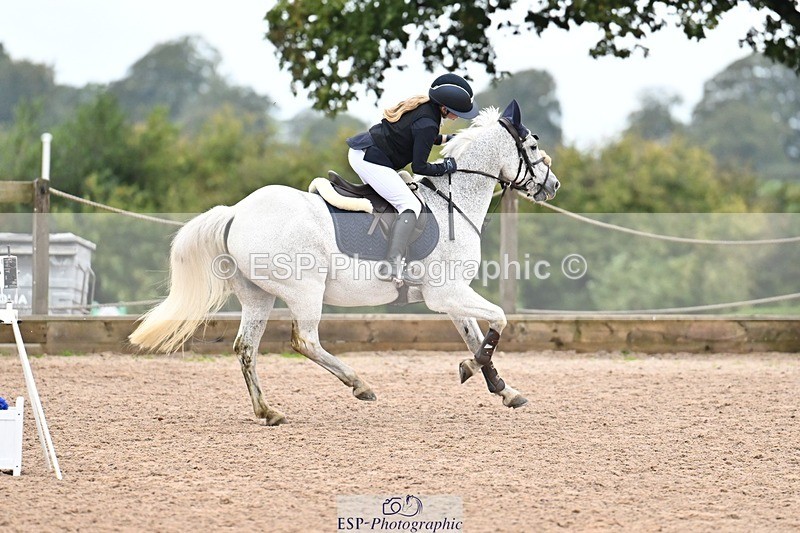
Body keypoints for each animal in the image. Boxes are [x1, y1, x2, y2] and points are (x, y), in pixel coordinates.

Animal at [129, 100, 560, 425]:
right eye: (531, 147)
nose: (553, 186)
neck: (453, 199)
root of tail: (235, 212)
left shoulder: (452, 296)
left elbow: (476, 335)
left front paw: (505, 390)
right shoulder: (447, 293)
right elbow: (499, 321)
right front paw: (470, 369)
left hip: (257, 296)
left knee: (246, 348)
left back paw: (268, 411)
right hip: (305, 290)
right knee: (305, 340)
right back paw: (359, 384)